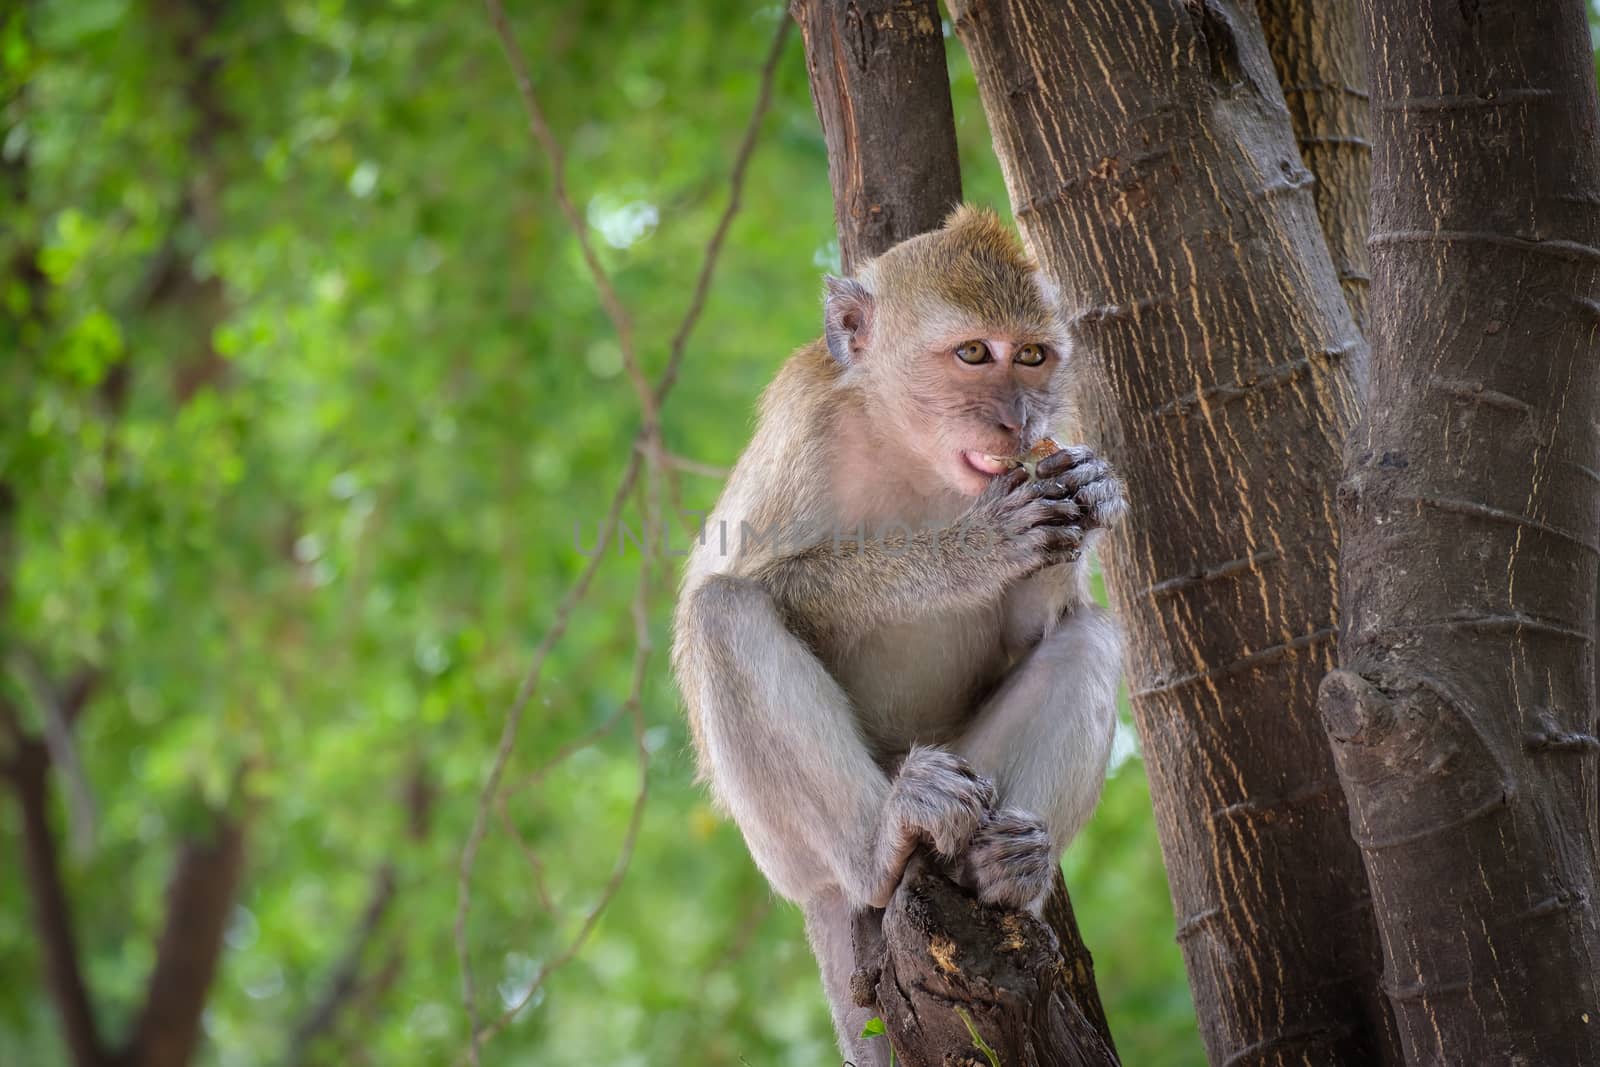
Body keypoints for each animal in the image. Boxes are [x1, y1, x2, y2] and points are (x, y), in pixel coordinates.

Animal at [668, 202, 1120, 1067]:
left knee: (1093, 637)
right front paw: (973, 549)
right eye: (974, 353)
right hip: (785, 845)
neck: (910, 448)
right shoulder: (805, 423)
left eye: (1034, 356)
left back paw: (1002, 868)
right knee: (724, 612)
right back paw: (880, 850)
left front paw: (1088, 491)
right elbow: (757, 583)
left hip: (970, 765)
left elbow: (1036, 628)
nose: (1020, 420)